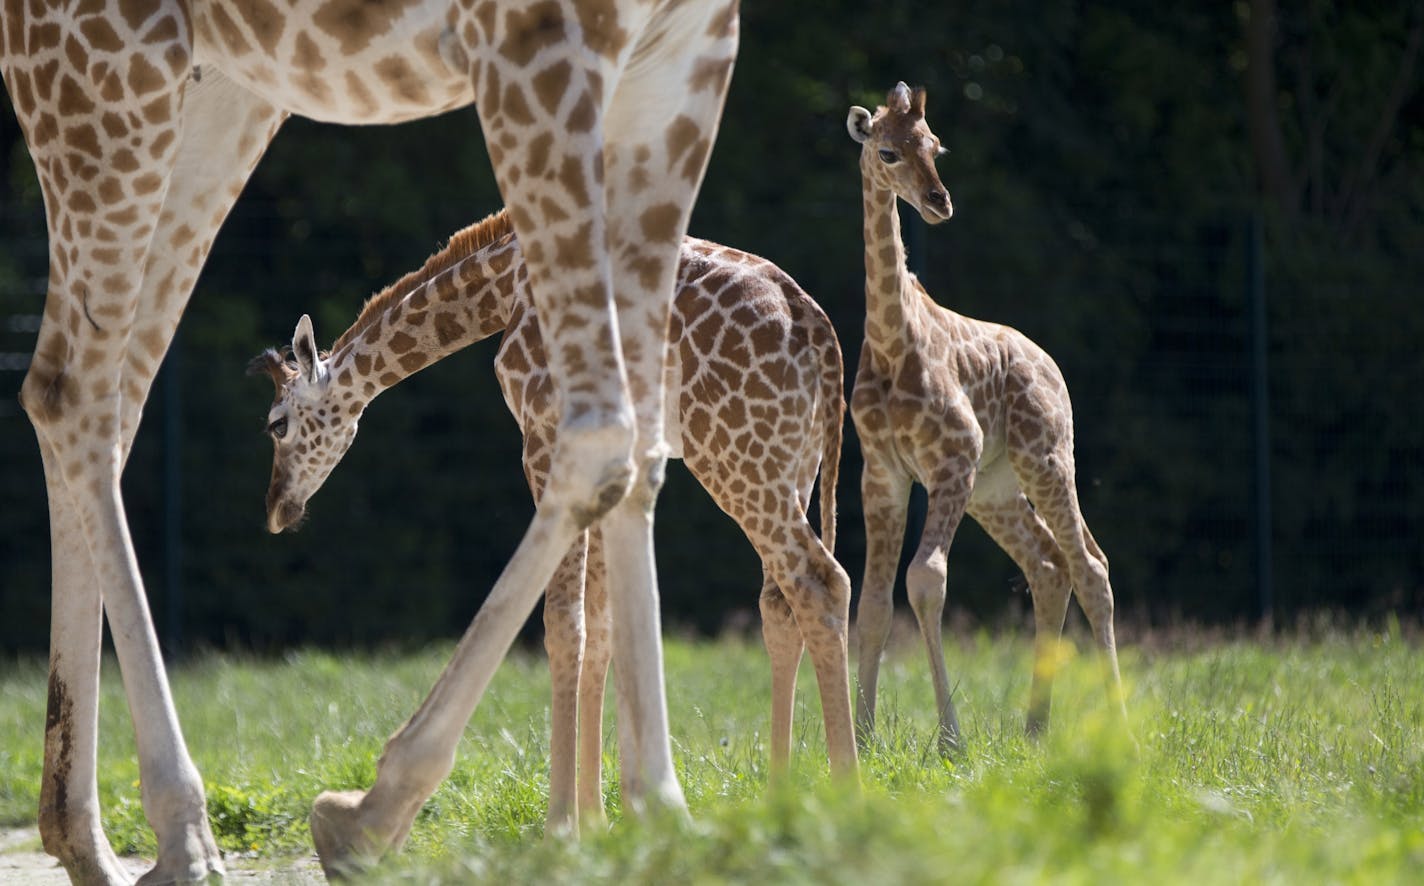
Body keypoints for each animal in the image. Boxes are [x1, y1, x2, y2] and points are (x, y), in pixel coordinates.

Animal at [0, 3, 734, 883]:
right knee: (69, 389)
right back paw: (182, 835)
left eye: (278, 425)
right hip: (104, 69)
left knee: (109, 391)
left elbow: (637, 458)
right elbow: (601, 471)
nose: (277, 512)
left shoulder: (686, 55)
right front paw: (375, 815)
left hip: (215, 92)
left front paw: (657, 817)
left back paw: (89, 841)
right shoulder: (535, 43)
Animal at [249, 207, 854, 831]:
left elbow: (566, 623)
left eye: (276, 424)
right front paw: (604, 816)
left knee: (821, 581)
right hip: (794, 464)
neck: (505, 284)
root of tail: (819, 332)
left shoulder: (544, 435)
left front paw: (563, 821)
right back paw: (784, 795)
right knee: (780, 603)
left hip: (736, 456)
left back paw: (848, 794)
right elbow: (607, 624)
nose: (278, 507)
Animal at [843, 81, 1122, 757]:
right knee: (1049, 567)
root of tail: (1053, 367)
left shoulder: (952, 460)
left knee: (1091, 566)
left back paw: (1120, 729)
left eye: (936, 145)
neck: (891, 345)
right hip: (995, 489)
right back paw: (1034, 729)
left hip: (1045, 459)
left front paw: (950, 740)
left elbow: (926, 581)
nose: (939, 202)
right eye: (887, 151)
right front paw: (862, 738)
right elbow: (873, 604)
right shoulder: (883, 475)